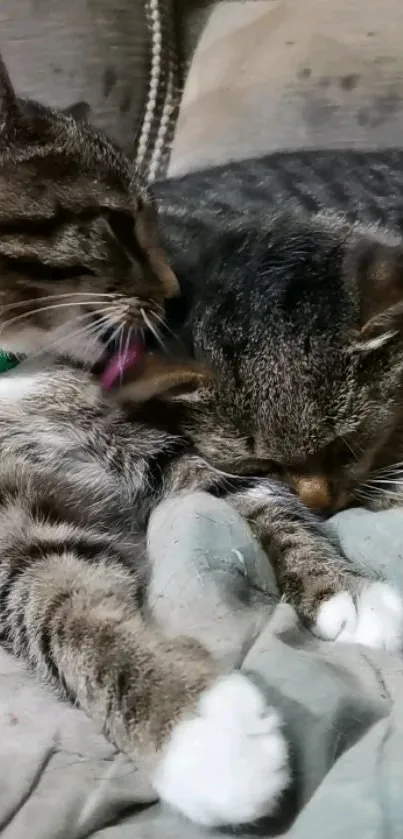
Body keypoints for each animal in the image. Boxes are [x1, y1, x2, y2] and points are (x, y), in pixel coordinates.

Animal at [0, 54, 403, 832]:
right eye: (116, 224)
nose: (169, 287)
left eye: (151, 215)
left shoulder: (167, 444)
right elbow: (64, 611)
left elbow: (265, 507)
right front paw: (202, 738)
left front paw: (348, 593)